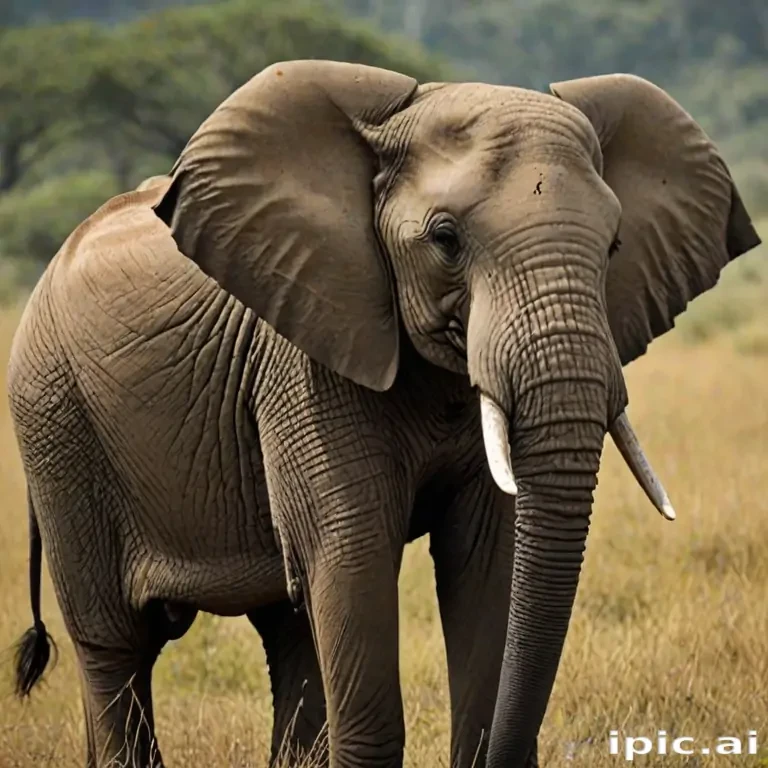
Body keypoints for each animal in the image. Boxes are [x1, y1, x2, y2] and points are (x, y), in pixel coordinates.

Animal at [8, 59, 761, 768]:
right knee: (116, 644)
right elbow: (353, 549)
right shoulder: (303, 360)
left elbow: (488, 552)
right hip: (55, 426)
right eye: (446, 239)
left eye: (612, 247)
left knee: (289, 628)